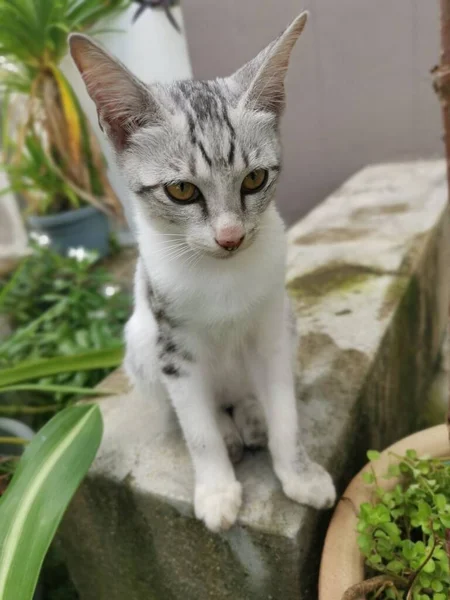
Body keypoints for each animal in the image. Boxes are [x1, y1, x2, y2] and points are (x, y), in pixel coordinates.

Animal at [70, 11, 336, 532]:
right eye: (180, 190)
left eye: (255, 179)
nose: (230, 237)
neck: (221, 277)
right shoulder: (173, 344)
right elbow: (198, 431)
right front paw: (216, 491)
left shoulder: (272, 329)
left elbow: (286, 413)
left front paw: (298, 472)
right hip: (140, 342)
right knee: (198, 409)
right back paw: (230, 432)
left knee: (245, 393)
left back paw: (250, 415)